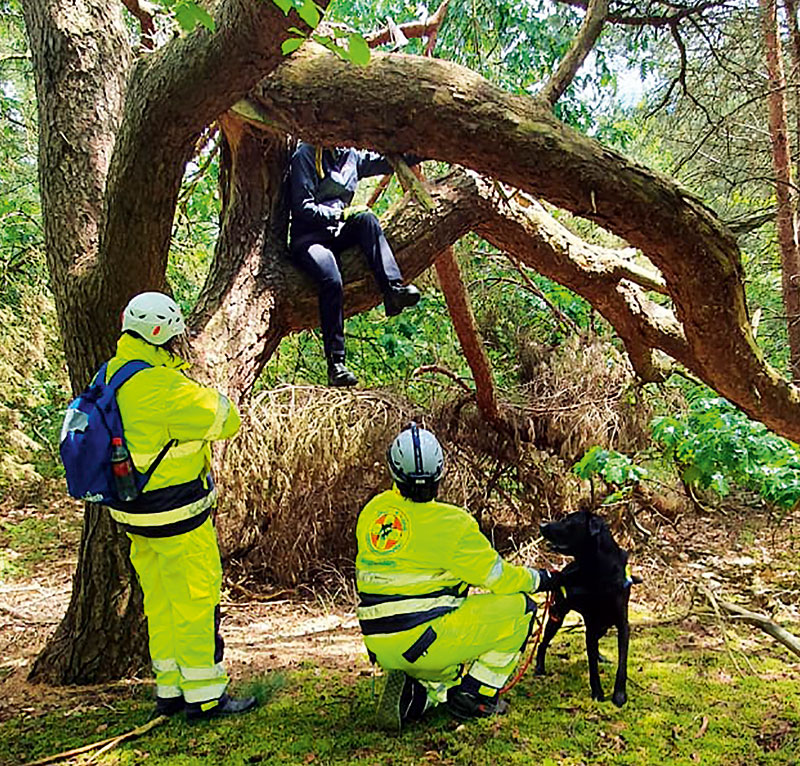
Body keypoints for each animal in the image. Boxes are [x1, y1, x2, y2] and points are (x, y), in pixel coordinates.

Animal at [536, 510, 640, 708]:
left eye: (567, 520)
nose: (542, 525)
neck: (598, 571)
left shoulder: (623, 625)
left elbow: (622, 664)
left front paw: (619, 695)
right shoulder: (591, 625)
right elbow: (592, 666)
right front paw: (598, 693)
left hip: (603, 625)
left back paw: (601, 656)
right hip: (557, 615)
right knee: (542, 643)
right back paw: (539, 667)